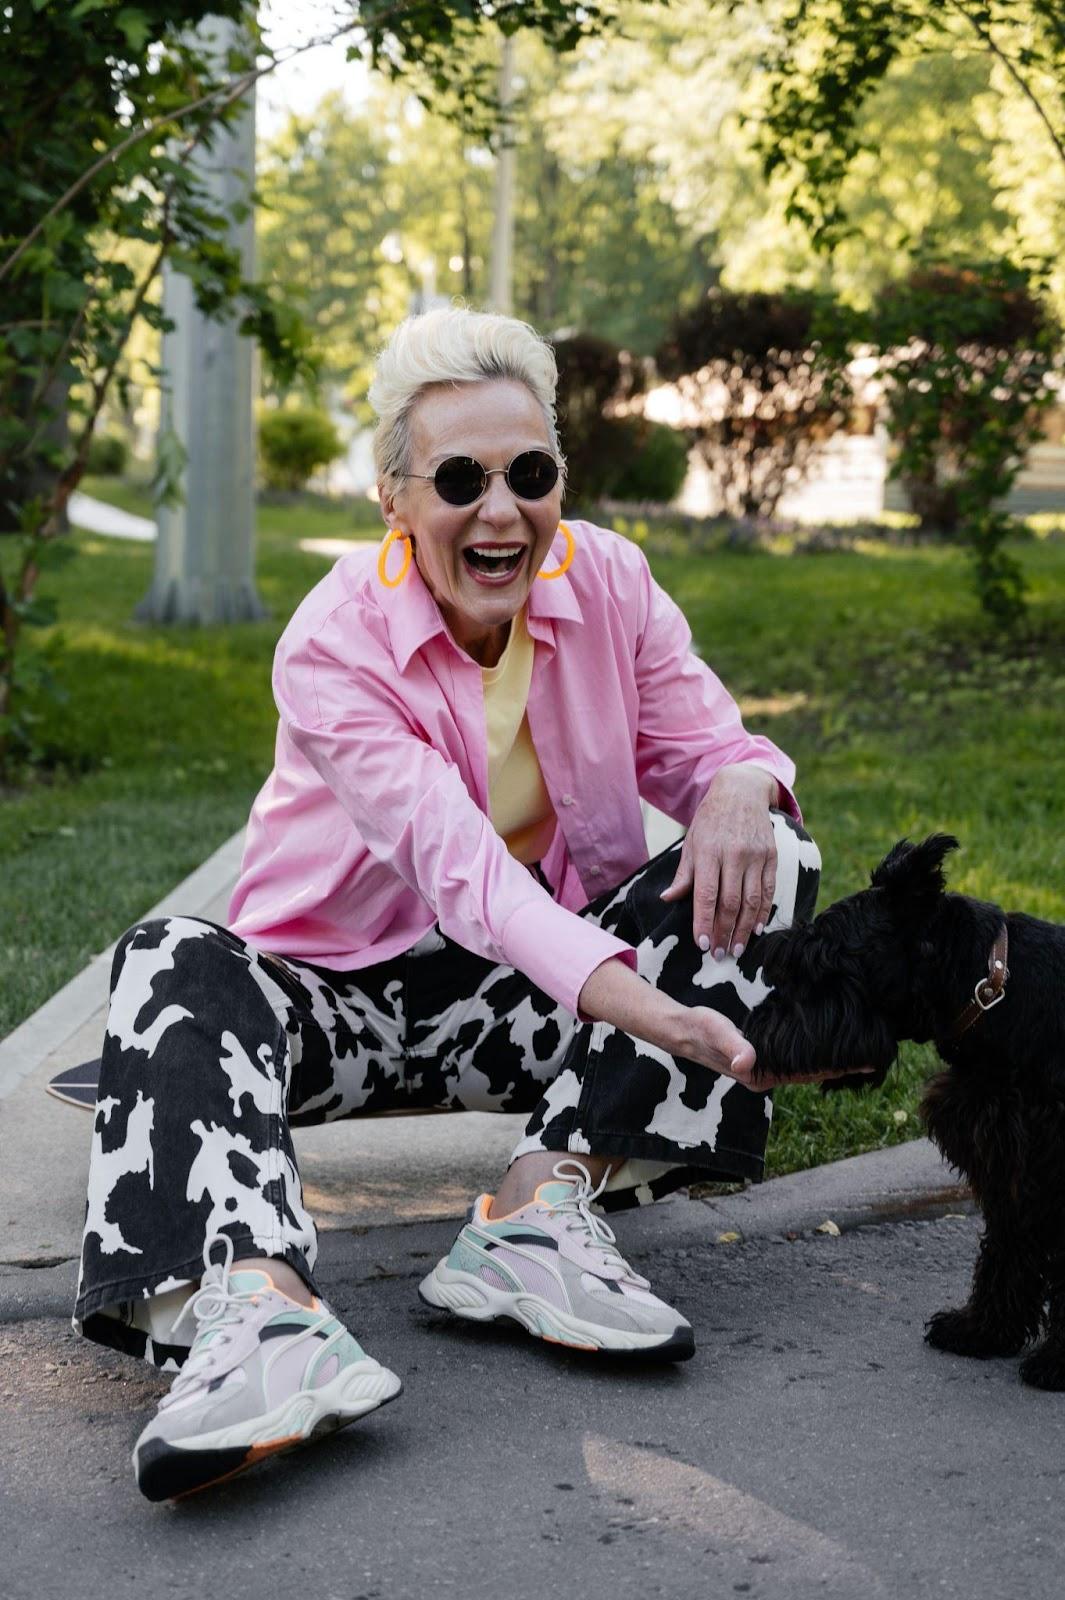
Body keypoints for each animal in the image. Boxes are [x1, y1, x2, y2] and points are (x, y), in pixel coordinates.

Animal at [741, 838, 1061, 1388]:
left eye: (821, 963)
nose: (755, 1030)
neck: (995, 988)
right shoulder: (1009, 1166)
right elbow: (1006, 1250)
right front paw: (982, 1331)